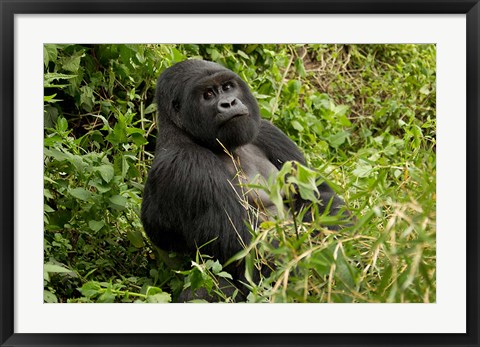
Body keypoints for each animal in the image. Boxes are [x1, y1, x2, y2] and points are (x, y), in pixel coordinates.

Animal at [141, 59, 346, 302]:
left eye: (228, 87)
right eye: (208, 94)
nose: (229, 102)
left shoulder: (267, 131)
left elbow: (319, 198)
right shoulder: (188, 165)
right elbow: (257, 253)